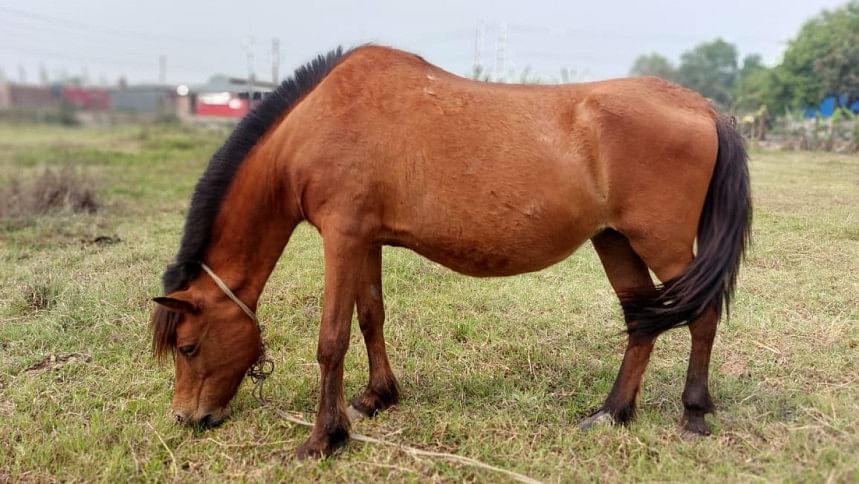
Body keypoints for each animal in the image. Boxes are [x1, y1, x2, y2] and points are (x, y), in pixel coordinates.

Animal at [151, 45, 748, 458]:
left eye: (187, 346)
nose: (186, 419)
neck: (320, 121)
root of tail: (703, 108)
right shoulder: (365, 241)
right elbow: (370, 317)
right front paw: (377, 397)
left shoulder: (341, 238)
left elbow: (331, 340)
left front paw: (323, 438)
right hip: (615, 241)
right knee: (641, 320)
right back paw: (612, 412)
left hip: (663, 244)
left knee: (701, 315)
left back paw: (692, 414)